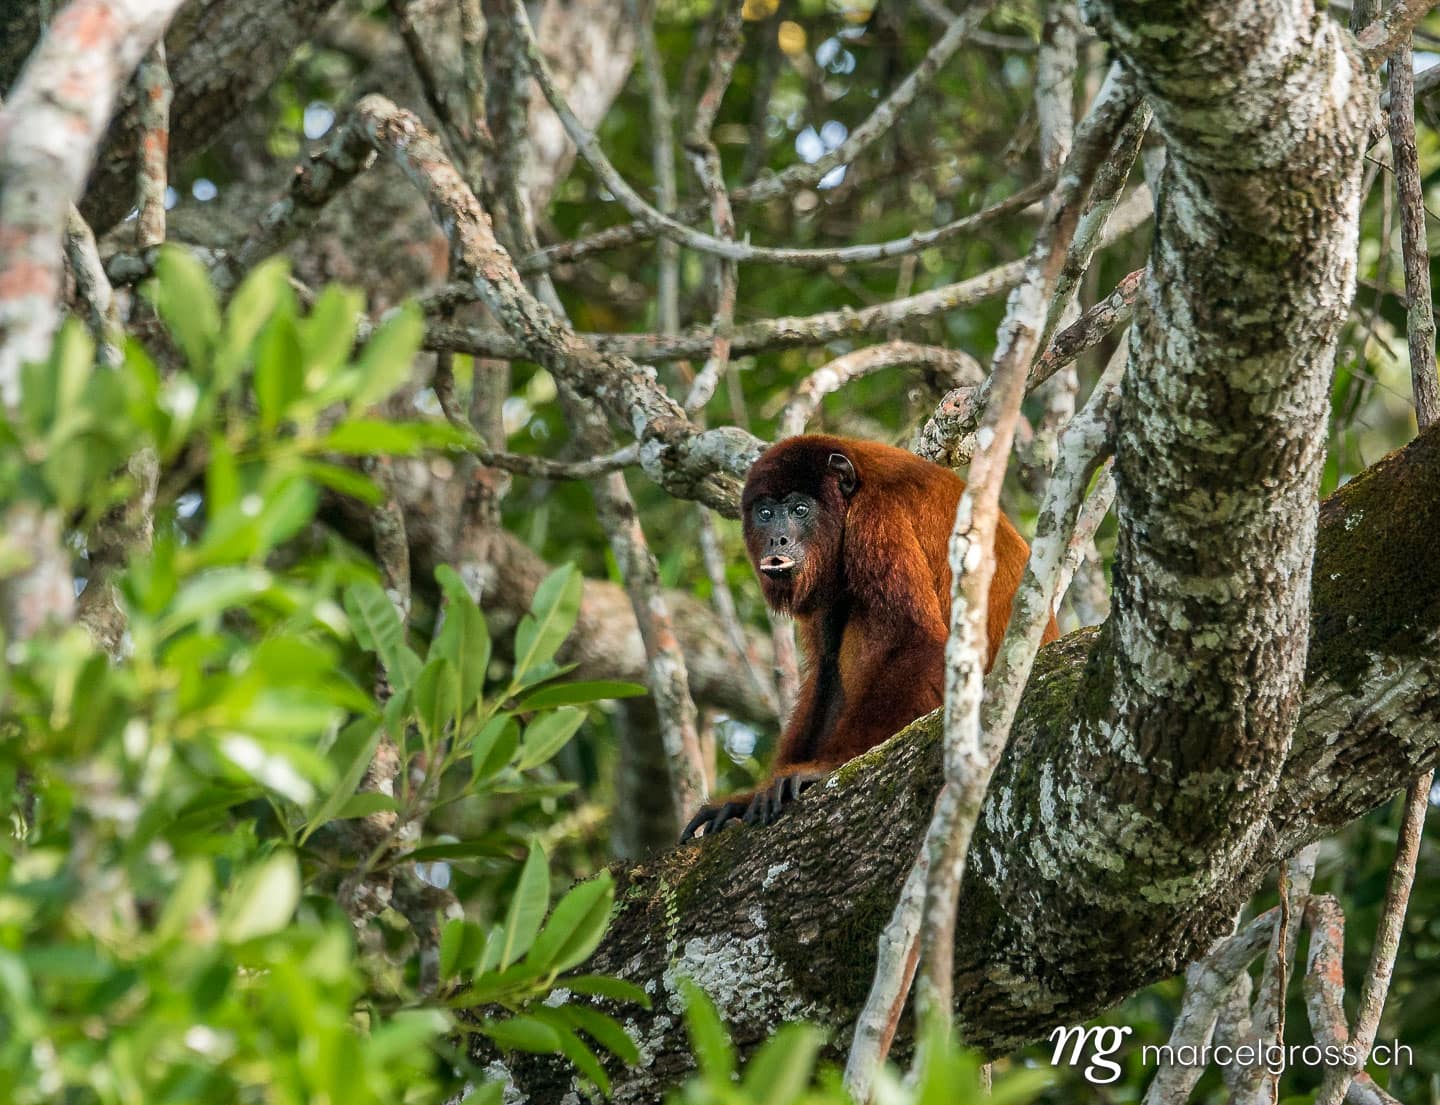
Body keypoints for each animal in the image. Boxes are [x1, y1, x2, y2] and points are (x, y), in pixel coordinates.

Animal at [680, 434, 1058, 842]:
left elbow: (915, 639)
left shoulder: (878, 517)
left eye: (799, 509)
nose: (776, 539)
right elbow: (826, 669)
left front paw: (824, 767)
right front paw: (746, 799)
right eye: (766, 513)